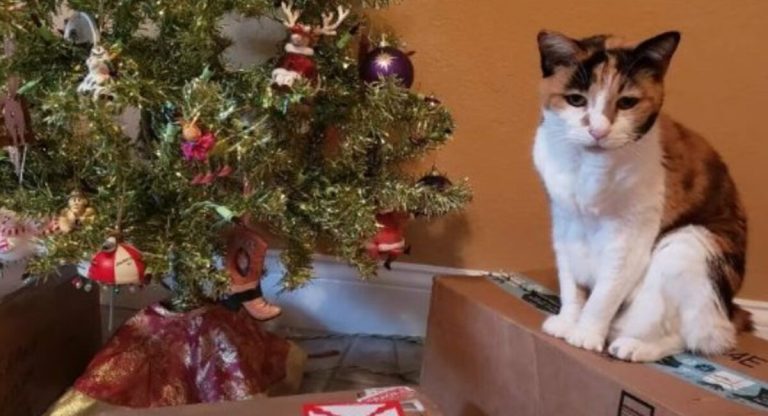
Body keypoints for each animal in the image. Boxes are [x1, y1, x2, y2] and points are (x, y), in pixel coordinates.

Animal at [532, 30, 748, 360]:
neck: (588, 169)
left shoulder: (630, 237)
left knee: (692, 338)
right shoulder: (563, 222)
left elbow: (605, 293)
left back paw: (633, 346)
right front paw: (568, 321)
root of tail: (730, 310)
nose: (598, 130)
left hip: (688, 244)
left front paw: (585, 333)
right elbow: (570, 283)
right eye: (576, 100)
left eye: (627, 103)